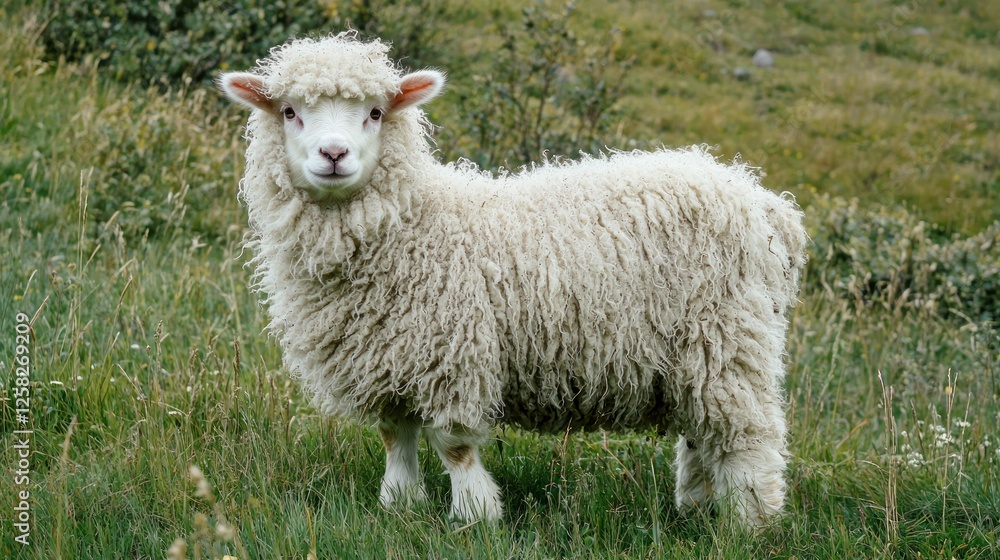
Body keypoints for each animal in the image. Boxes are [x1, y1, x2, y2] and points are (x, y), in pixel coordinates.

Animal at [218, 32, 808, 527]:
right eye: (290, 112)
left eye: (376, 113)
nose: (334, 154)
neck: (414, 226)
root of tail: (764, 204)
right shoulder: (388, 355)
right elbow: (395, 436)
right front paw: (399, 504)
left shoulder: (451, 351)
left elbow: (454, 444)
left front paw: (475, 516)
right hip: (696, 353)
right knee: (701, 431)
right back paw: (696, 507)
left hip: (729, 337)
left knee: (746, 436)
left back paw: (747, 523)